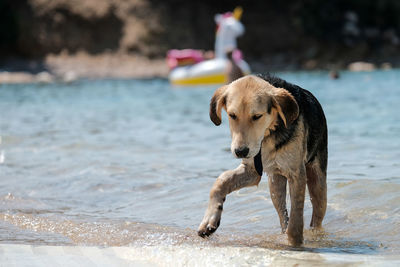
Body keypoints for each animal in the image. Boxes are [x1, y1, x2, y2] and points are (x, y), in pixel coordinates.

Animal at [198, 73, 328, 247]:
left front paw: (295, 243)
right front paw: (209, 220)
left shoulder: (297, 174)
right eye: (232, 115)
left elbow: (296, 217)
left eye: (257, 116)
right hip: (275, 187)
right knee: (283, 216)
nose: (240, 151)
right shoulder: (252, 171)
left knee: (315, 219)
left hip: (318, 186)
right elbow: (221, 180)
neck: (268, 134)